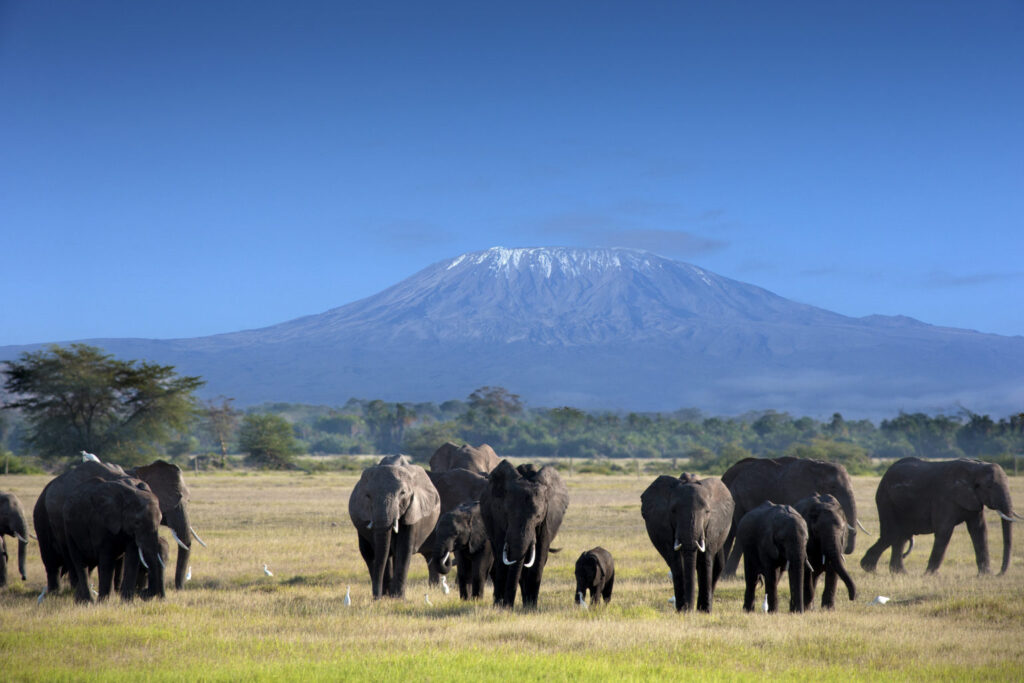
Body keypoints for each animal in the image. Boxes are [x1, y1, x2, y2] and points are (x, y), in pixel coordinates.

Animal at [348, 458, 440, 598]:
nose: (376, 598)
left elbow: (404, 548)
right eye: (368, 496)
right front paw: (387, 596)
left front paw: (398, 598)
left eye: (402, 493)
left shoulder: (413, 510)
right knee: (369, 553)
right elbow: (381, 551)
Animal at [479, 458, 569, 610]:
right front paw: (502, 607)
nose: (508, 605)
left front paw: (531, 608)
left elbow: (539, 556)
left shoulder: (547, 518)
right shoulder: (497, 517)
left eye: (538, 516)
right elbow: (503, 557)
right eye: (507, 514)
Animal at [638, 475, 737, 614]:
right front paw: (682, 610)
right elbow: (676, 562)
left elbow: (706, 559)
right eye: (673, 511)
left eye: (707, 511)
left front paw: (703, 612)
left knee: (717, 565)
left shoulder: (712, 527)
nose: (689, 610)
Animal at [720, 456, 864, 581]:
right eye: (833, 487)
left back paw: (722, 574)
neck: (820, 467)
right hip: (741, 498)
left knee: (729, 533)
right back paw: (728, 576)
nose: (846, 549)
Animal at [860, 456, 1019, 573]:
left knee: (900, 536)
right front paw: (929, 575)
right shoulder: (944, 497)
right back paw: (870, 569)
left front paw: (985, 575)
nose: (999, 573)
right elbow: (944, 530)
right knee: (892, 533)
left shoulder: (973, 500)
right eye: (989, 486)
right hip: (885, 499)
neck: (976, 467)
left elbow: (979, 530)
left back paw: (897, 573)